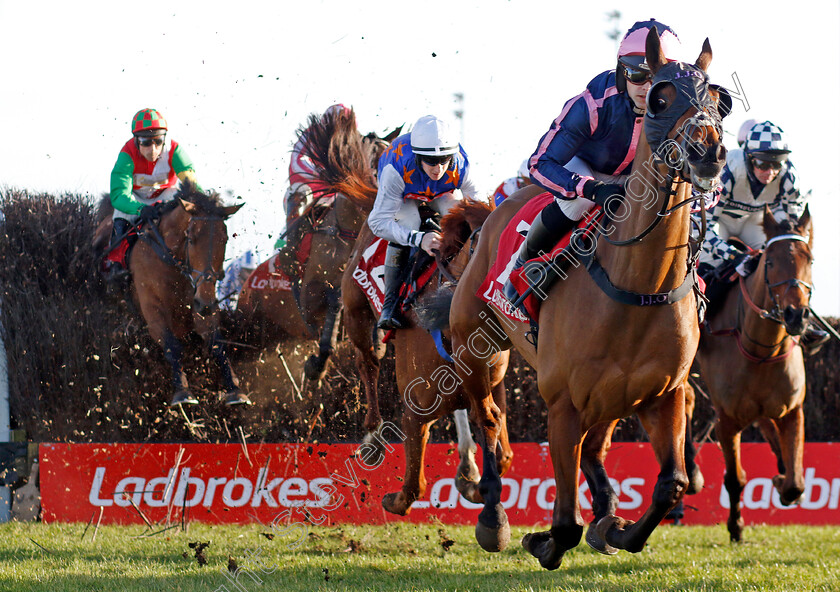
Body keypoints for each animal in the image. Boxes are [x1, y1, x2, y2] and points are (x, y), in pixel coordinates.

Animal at [97, 184, 246, 408]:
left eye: (225, 239)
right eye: (191, 239)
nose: (205, 303)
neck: (171, 261)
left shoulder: (200, 302)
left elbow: (216, 342)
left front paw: (234, 389)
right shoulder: (152, 309)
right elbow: (172, 345)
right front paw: (183, 392)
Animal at [340, 201, 512, 516]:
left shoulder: (492, 388)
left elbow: (503, 452)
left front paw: (475, 482)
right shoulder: (413, 413)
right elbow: (413, 486)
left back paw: (467, 466)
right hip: (355, 310)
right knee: (368, 363)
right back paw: (373, 440)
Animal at [446, 30, 728, 568]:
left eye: (716, 101)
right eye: (660, 97)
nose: (709, 150)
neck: (638, 287)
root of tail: (494, 208)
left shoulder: (664, 394)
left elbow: (672, 485)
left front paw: (617, 528)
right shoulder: (562, 404)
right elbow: (564, 522)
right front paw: (544, 540)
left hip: (612, 395)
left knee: (596, 447)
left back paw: (605, 509)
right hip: (476, 346)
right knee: (488, 415)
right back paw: (492, 513)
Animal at [688, 206, 812, 544]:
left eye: (810, 260)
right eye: (769, 262)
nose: (796, 315)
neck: (761, 349)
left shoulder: (793, 410)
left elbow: (796, 481)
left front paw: (783, 480)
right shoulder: (726, 420)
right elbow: (735, 479)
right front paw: (736, 527)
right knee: (686, 397)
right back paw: (692, 474)